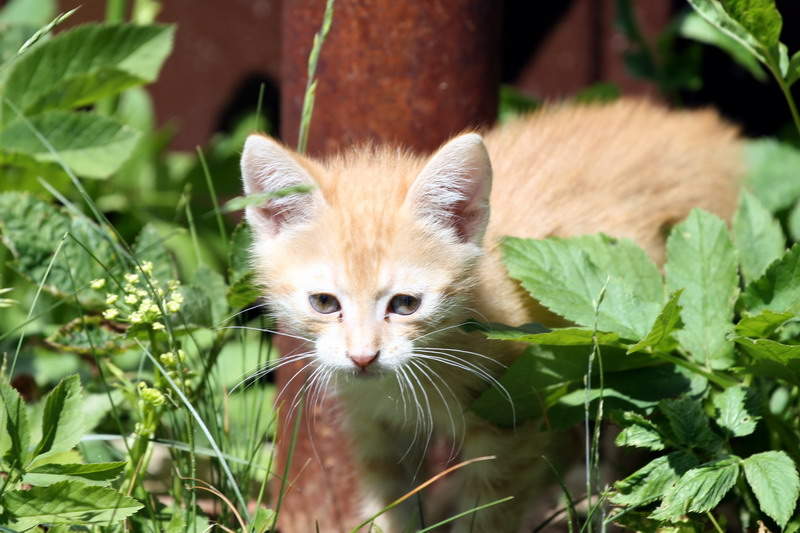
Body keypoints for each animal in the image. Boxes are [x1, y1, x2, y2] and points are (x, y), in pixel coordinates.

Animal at [241, 101, 740, 532]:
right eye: (325, 303)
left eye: (405, 304)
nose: (363, 358)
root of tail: (701, 129)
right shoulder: (375, 428)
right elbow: (392, 504)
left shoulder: (512, 424)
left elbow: (489, 515)